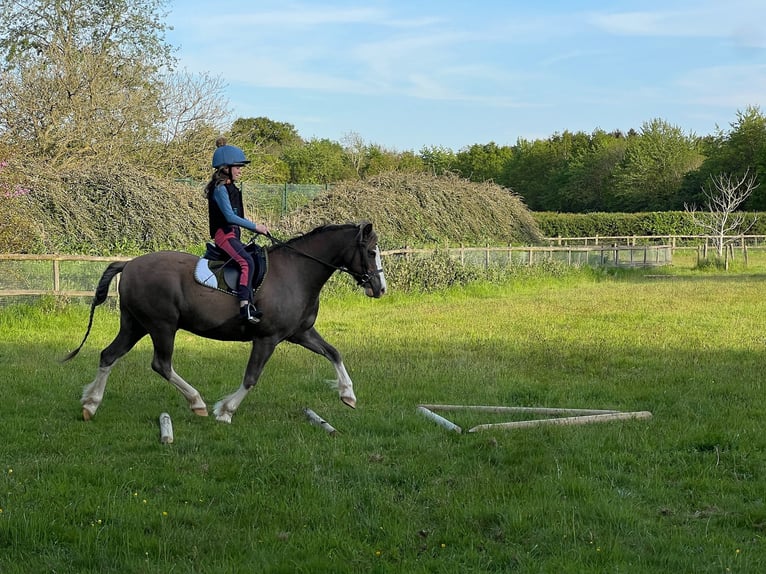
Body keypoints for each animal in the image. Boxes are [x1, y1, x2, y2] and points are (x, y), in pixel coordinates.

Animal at [63, 223, 390, 426]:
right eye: (371, 252)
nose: (380, 288)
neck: (297, 272)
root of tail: (129, 264)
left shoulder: (301, 333)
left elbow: (334, 353)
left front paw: (348, 395)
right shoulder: (267, 339)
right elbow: (251, 377)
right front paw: (225, 411)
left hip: (135, 325)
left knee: (109, 355)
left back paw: (90, 404)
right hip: (161, 326)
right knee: (161, 364)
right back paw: (197, 403)